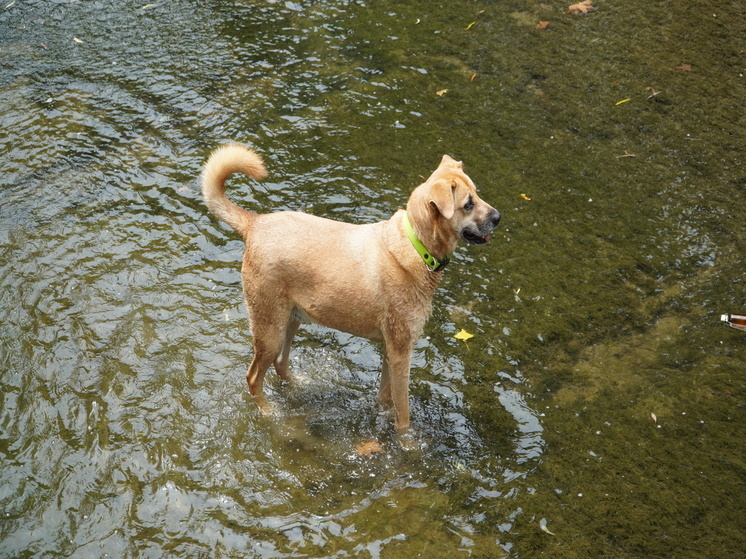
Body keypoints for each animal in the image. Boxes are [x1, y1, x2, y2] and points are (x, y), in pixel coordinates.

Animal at [201, 144, 496, 434]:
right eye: (467, 204)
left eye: (478, 193)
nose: (498, 217)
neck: (417, 247)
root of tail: (255, 223)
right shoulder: (402, 353)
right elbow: (404, 415)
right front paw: (408, 443)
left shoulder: (391, 352)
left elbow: (385, 398)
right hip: (269, 328)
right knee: (253, 377)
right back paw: (269, 412)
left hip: (291, 321)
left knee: (281, 364)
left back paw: (301, 386)